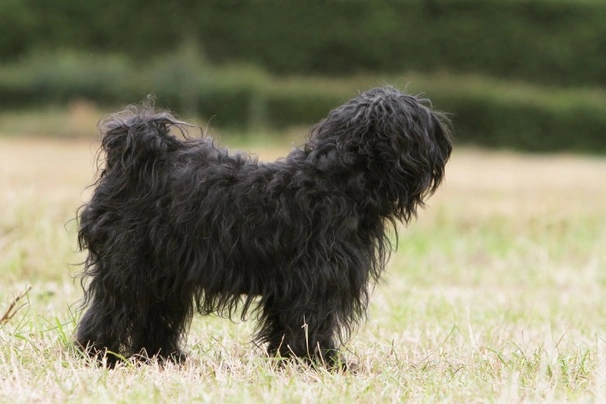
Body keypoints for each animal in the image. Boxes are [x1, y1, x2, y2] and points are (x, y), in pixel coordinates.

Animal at [75, 86, 452, 366]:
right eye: (419, 123)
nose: (445, 140)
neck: (338, 180)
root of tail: (135, 157)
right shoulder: (317, 279)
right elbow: (313, 321)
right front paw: (322, 363)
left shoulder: (291, 284)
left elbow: (287, 324)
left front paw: (291, 360)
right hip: (131, 266)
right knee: (112, 308)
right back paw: (101, 355)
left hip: (165, 274)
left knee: (154, 314)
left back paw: (163, 357)